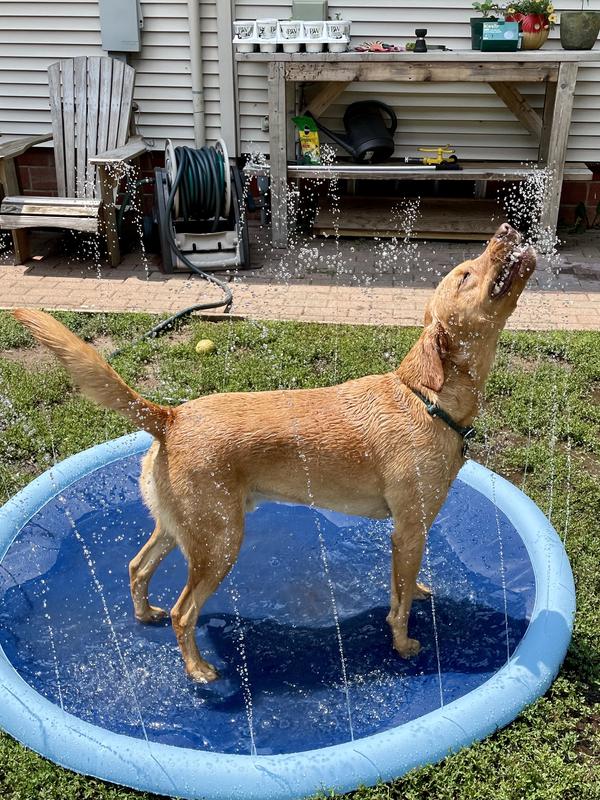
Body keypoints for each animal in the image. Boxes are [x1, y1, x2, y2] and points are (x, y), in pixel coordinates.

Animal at [14, 223, 536, 680]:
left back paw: (145, 615)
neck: (428, 397)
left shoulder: (409, 531)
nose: (506, 229)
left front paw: (418, 591)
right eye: (465, 274)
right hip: (221, 542)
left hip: (181, 528)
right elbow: (399, 607)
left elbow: (403, 586)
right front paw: (404, 644)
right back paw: (199, 671)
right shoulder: (408, 529)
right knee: (185, 612)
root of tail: (171, 417)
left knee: (137, 567)